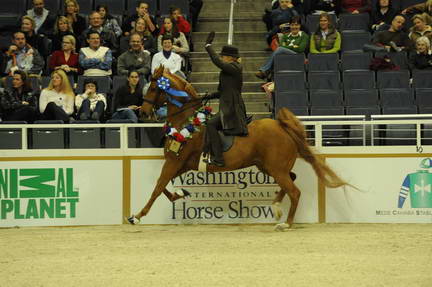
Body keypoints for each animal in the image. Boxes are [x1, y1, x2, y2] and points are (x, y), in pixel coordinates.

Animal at [130, 66, 350, 232]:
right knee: (292, 180)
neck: (187, 121)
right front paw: (180, 193)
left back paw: (285, 223)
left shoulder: (174, 161)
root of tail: (281, 126)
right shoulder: (182, 164)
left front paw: (137, 216)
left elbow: (158, 187)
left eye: (153, 87)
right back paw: (277, 206)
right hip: (269, 167)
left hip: (276, 168)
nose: (143, 112)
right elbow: (164, 187)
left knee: (295, 191)